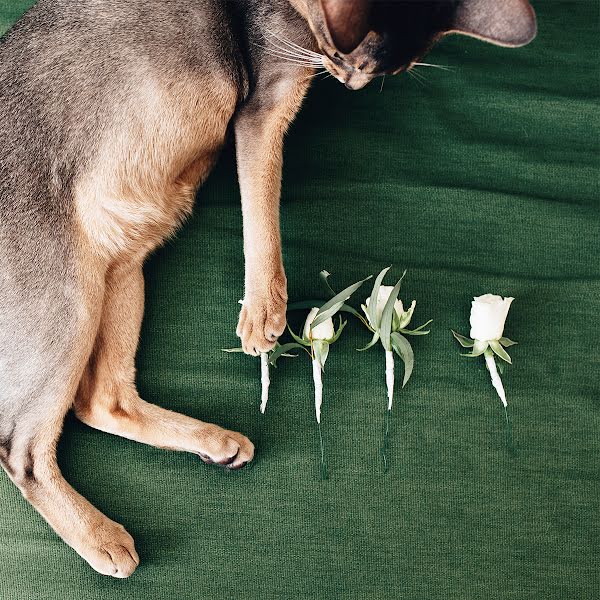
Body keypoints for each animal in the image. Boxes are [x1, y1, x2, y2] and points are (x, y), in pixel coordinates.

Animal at [0, 0, 536, 576]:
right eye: (345, 56)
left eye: (384, 70)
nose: (349, 83)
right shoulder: (263, 107)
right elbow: (263, 205)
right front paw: (263, 309)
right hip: (68, 303)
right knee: (22, 449)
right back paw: (101, 537)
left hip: (123, 269)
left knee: (100, 401)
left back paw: (216, 444)